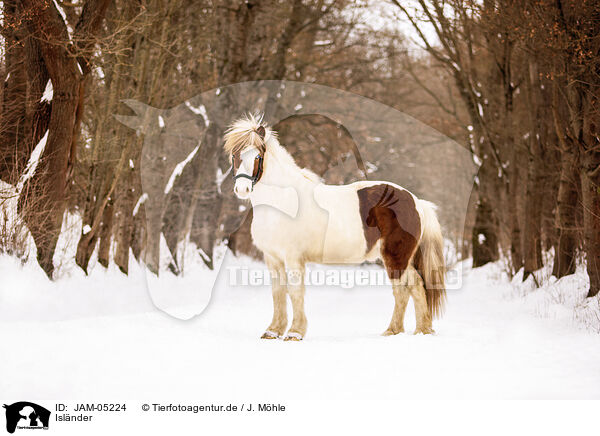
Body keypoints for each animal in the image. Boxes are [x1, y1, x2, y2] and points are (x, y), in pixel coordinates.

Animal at [225, 115, 446, 340]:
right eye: (235, 155)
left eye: (257, 156)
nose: (242, 189)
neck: (281, 201)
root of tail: (416, 201)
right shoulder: (272, 257)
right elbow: (278, 293)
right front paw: (273, 331)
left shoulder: (293, 257)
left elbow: (295, 292)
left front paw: (295, 333)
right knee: (414, 288)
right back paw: (413, 330)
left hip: (396, 257)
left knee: (407, 289)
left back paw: (403, 331)